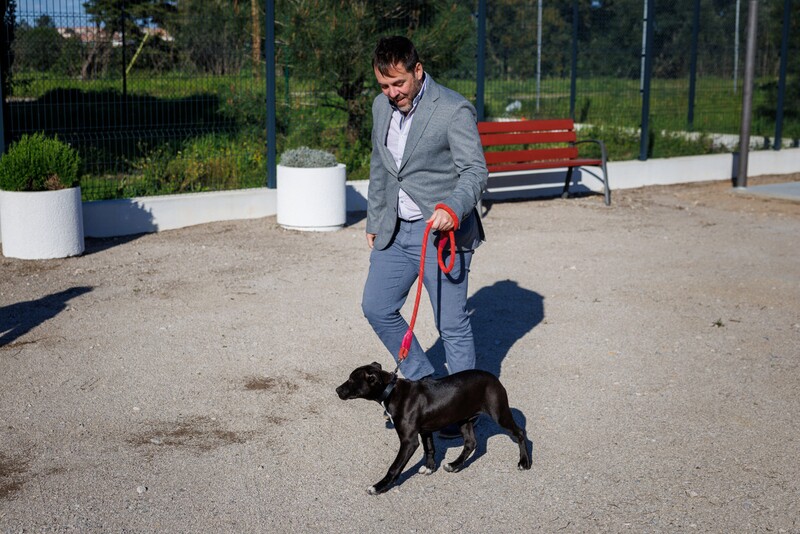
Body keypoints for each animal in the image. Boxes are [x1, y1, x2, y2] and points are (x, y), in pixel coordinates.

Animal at [336, 362, 531, 494]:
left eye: (351, 380)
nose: (337, 390)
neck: (390, 391)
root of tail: (494, 379)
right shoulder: (425, 430)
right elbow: (429, 448)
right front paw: (430, 468)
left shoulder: (409, 440)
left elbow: (394, 466)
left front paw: (379, 487)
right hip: (463, 418)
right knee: (471, 443)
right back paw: (454, 465)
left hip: (499, 414)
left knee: (520, 433)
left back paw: (524, 462)